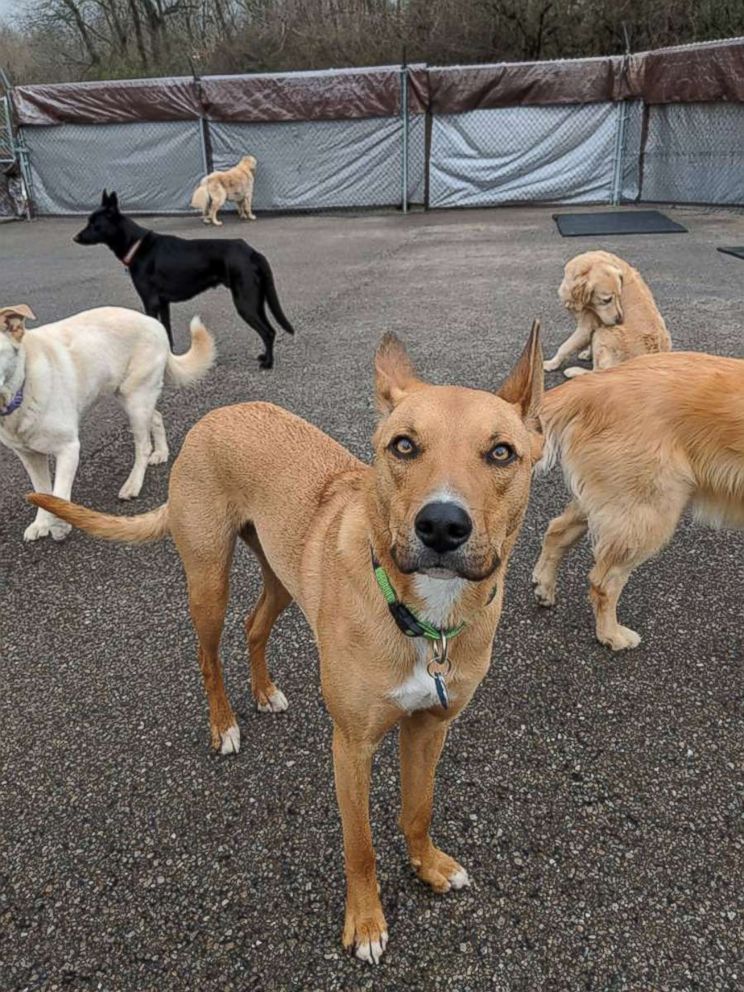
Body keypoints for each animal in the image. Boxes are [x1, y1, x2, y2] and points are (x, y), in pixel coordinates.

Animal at [0, 306, 215, 548]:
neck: (21, 390)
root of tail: (152, 321)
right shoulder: (29, 456)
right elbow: (42, 489)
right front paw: (41, 523)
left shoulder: (68, 449)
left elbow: (59, 491)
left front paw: (60, 526)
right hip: (132, 396)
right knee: (157, 417)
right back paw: (161, 452)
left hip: (135, 399)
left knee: (143, 446)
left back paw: (133, 484)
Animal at [29, 324, 544, 960]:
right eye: (403, 446)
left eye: (502, 453)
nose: (442, 526)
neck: (423, 616)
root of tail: (219, 412)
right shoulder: (351, 745)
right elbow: (360, 845)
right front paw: (365, 923)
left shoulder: (430, 727)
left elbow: (418, 810)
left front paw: (428, 867)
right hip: (208, 579)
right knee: (208, 655)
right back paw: (224, 724)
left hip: (280, 574)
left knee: (254, 626)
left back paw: (265, 691)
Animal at [74, 191, 294, 368]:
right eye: (88, 221)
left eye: (94, 224)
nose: (75, 238)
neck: (137, 245)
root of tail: (251, 252)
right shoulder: (163, 303)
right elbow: (166, 331)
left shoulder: (150, 303)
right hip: (255, 301)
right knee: (270, 330)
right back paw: (265, 357)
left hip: (245, 303)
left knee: (268, 332)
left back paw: (268, 363)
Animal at [536, 350, 744, 652]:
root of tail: (593, 385)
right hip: (646, 512)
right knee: (603, 582)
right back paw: (611, 635)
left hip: (613, 501)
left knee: (557, 531)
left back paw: (544, 587)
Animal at [544, 252, 672, 380]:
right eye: (607, 300)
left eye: (619, 296)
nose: (619, 320)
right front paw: (588, 353)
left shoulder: (586, 327)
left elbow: (564, 347)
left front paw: (551, 364)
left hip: (604, 332)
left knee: (599, 371)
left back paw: (573, 371)